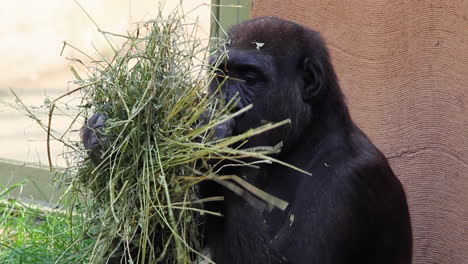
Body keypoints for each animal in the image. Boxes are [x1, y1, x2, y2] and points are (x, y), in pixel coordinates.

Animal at [82, 16, 412, 264]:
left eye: (250, 78)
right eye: (222, 75)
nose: (223, 102)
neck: (306, 138)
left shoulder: (347, 178)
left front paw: (211, 142)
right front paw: (103, 141)